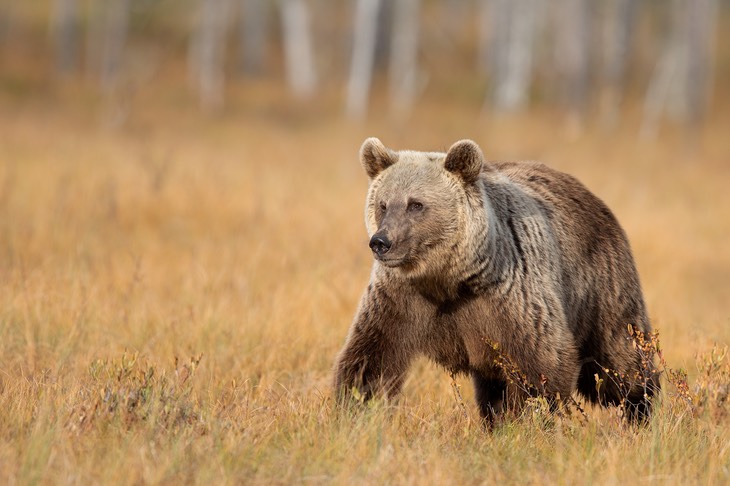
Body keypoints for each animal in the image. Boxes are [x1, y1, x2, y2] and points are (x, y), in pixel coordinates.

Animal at [334, 137, 660, 422]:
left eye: (416, 204)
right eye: (383, 204)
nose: (381, 242)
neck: (449, 280)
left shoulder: (511, 298)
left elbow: (542, 365)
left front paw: (527, 422)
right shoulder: (400, 299)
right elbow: (372, 359)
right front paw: (354, 410)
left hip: (602, 287)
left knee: (619, 362)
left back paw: (642, 411)